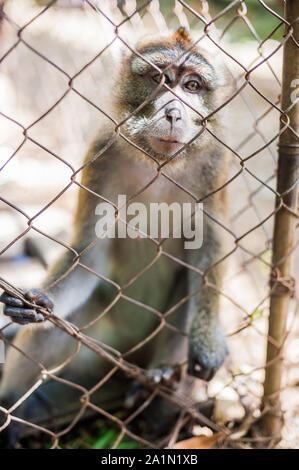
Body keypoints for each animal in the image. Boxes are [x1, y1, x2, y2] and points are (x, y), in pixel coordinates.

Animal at [0, 27, 232, 446]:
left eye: (192, 86)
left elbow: (208, 250)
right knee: (51, 333)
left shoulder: (214, 161)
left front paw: (207, 339)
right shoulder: (101, 153)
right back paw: (14, 410)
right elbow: (87, 253)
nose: (174, 112)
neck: (157, 164)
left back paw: (160, 385)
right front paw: (39, 302)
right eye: (159, 79)